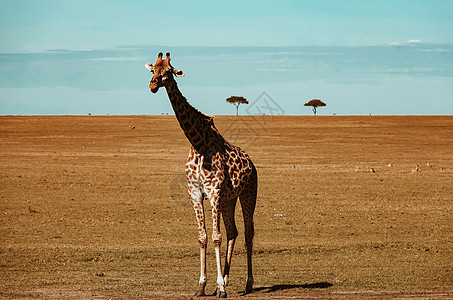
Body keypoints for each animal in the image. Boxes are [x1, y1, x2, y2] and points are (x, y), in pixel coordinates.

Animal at [146, 52, 258, 296]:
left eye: (168, 71)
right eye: (153, 70)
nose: (152, 85)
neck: (197, 143)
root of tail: (252, 164)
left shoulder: (213, 191)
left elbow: (216, 237)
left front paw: (220, 288)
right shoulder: (196, 193)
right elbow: (203, 237)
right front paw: (203, 285)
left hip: (248, 194)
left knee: (248, 233)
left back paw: (247, 283)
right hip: (229, 199)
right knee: (233, 232)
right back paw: (224, 281)